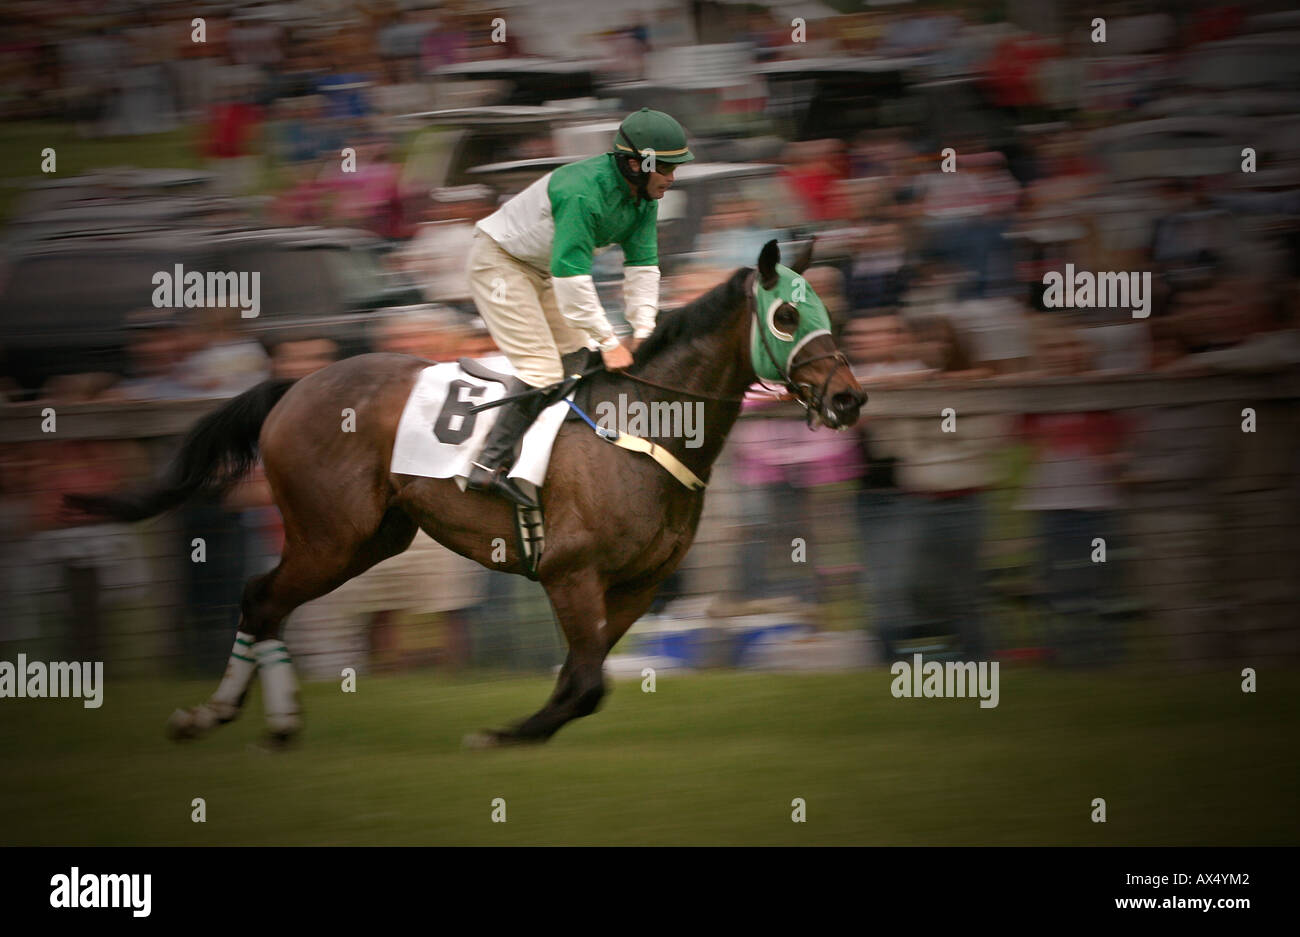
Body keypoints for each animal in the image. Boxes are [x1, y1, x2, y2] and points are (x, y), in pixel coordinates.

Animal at [68, 239, 863, 743]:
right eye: (786, 316)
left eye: (826, 309)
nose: (849, 398)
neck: (645, 421)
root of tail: (295, 383)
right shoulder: (570, 570)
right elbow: (585, 683)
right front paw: (504, 736)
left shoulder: (637, 585)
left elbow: (583, 679)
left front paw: (521, 729)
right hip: (331, 537)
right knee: (261, 598)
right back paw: (232, 717)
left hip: (368, 540)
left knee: (267, 603)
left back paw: (246, 720)